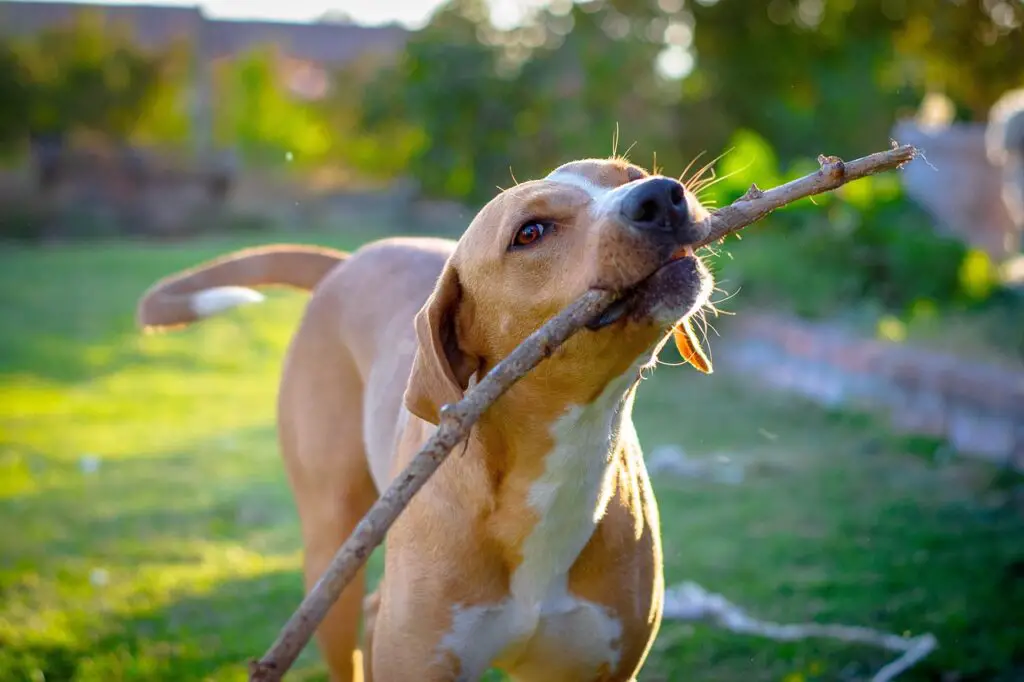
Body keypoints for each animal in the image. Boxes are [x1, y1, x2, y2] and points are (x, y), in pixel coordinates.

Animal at [134, 156, 712, 675]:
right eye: (530, 232)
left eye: (632, 175)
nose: (660, 196)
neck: (557, 462)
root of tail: (347, 261)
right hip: (331, 549)